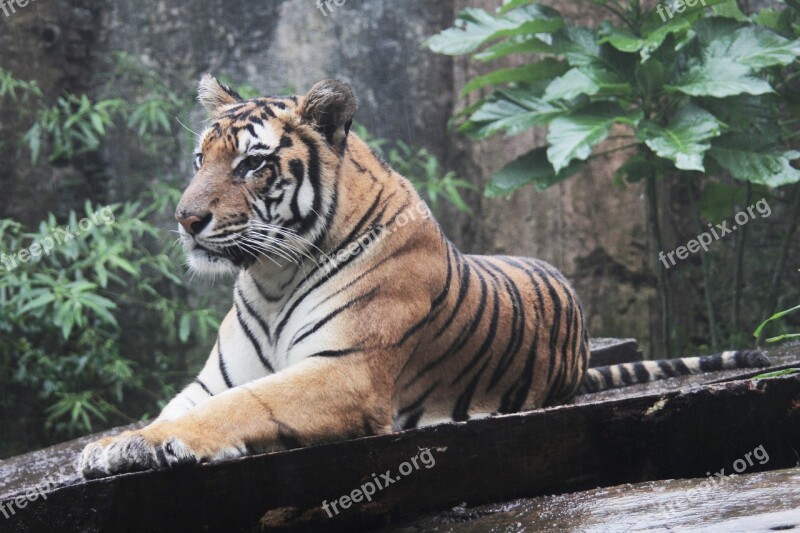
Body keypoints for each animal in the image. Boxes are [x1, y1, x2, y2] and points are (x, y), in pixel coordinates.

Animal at [79, 76, 768, 478]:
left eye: (252, 163)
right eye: (201, 159)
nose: (186, 218)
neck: (270, 279)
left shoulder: (345, 371)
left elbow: (243, 404)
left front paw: (157, 443)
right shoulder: (213, 377)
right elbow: (181, 406)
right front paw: (120, 442)